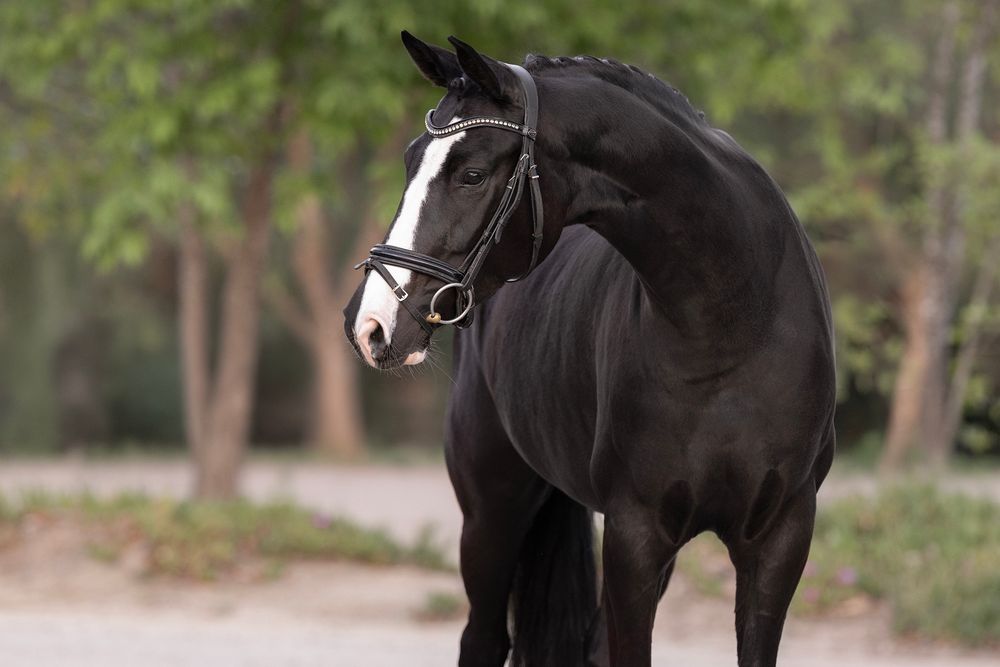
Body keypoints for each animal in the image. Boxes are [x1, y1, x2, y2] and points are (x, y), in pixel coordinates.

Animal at [343, 32, 836, 667]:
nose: (369, 324)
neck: (733, 327)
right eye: (409, 159)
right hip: (491, 510)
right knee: (483, 637)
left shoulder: (780, 537)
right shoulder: (634, 533)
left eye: (472, 174)